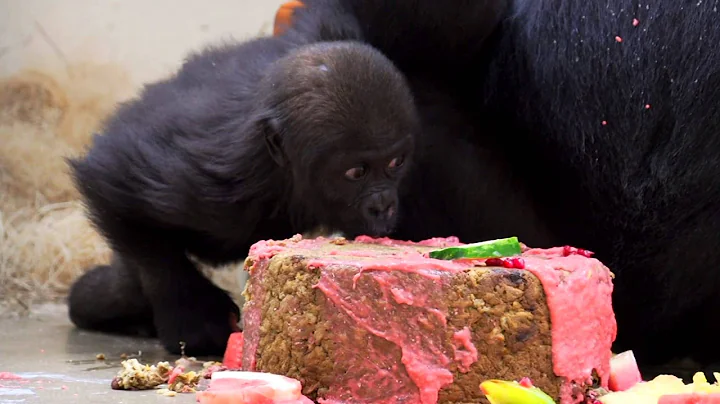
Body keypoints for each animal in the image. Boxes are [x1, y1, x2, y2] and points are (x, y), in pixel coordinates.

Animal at [67, 38, 421, 356]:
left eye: (396, 163)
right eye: (356, 172)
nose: (383, 206)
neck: (279, 167)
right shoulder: (214, 180)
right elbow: (110, 177)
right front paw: (190, 316)